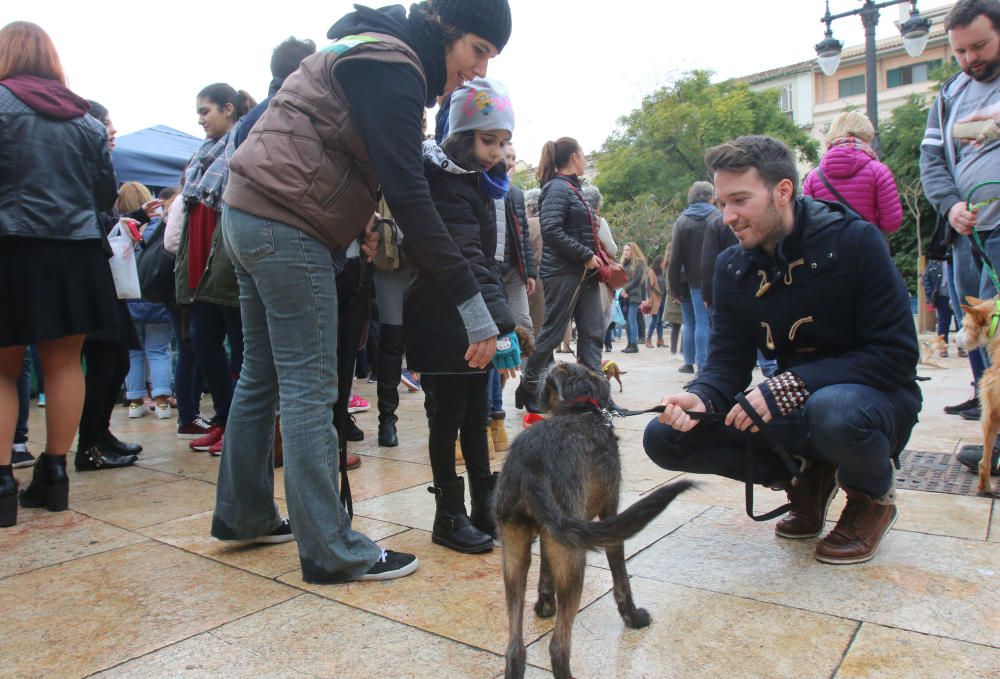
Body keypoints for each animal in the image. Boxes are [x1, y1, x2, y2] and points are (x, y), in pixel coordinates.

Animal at [496, 364, 692, 679]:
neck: (581, 412)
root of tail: (531, 463)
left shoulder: (554, 535)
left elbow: (545, 570)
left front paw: (544, 605)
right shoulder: (609, 515)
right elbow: (620, 576)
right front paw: (633, 617)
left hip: (515, 552)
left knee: (515, 649)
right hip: (575, 558)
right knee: (558, 646)